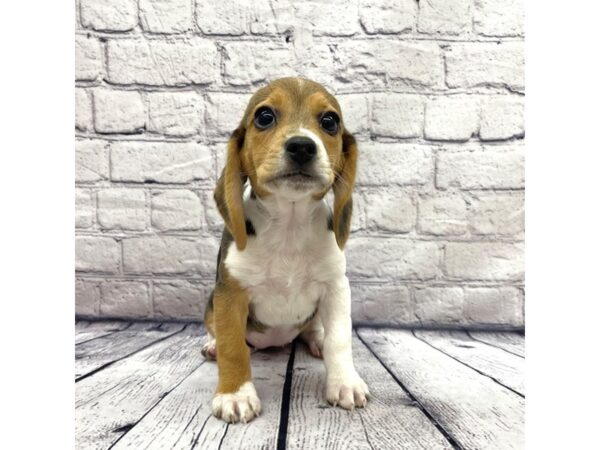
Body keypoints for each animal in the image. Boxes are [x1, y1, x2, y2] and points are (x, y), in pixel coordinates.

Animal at [202, 75, 368, 424]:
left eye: (329, 121)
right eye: (264, 117)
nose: (302, 146)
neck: (289, 226)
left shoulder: (336, 287)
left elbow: (339, 339)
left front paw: (345, 383)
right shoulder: (229, 292)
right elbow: (233, 347)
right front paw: (235, 395)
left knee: (313, 328)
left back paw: (316, 339)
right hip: (211, 302)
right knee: (217, 332)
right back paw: (211, 345)